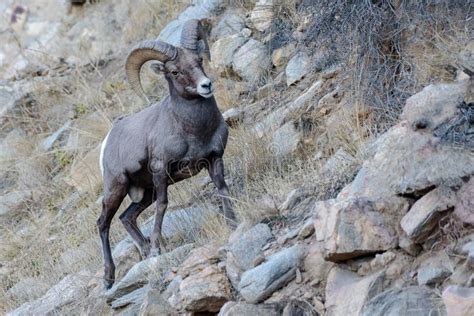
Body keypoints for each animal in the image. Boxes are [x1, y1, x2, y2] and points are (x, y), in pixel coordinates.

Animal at [97, 19, 235, 290]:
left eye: (199, 60)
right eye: (174, 71)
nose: (206, 85)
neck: (193, 130)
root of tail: (109, 138)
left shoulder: (214, 160)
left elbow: (222, 188)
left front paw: (232, 223)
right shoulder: (161, 171)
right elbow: (163, 205)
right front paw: (156, 250)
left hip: (143, 194)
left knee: (126, 218)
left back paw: (143, 250)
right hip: (117, 189)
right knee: (103, 224)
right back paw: (109, 278)